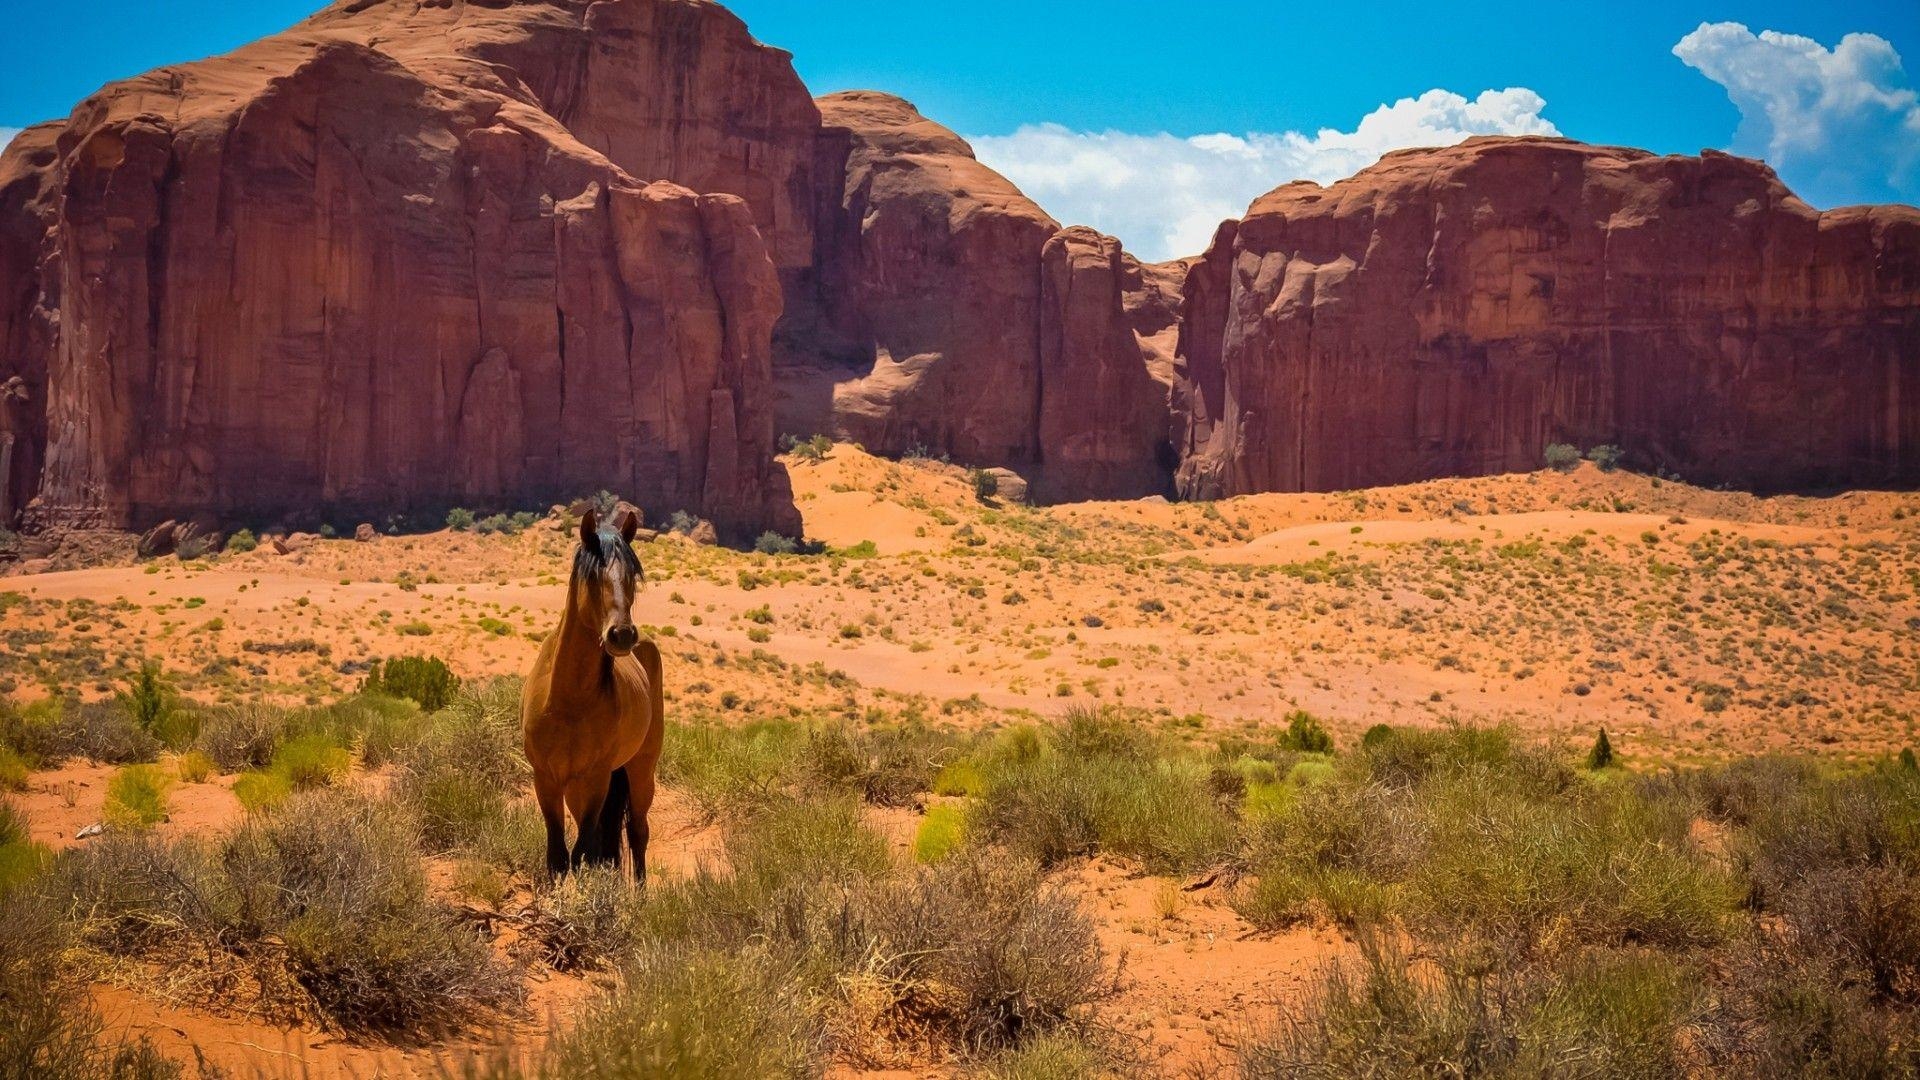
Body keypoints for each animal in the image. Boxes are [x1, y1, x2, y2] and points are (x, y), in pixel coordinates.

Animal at [522, 503, 664, 876]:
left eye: (632, 575)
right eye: (592, 576)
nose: (622, 635)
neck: (568, 701)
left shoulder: (596, 779)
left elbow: (583, 851)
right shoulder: (546, 780)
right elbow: (558, 857)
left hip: (640, 770)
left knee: (638, 832)